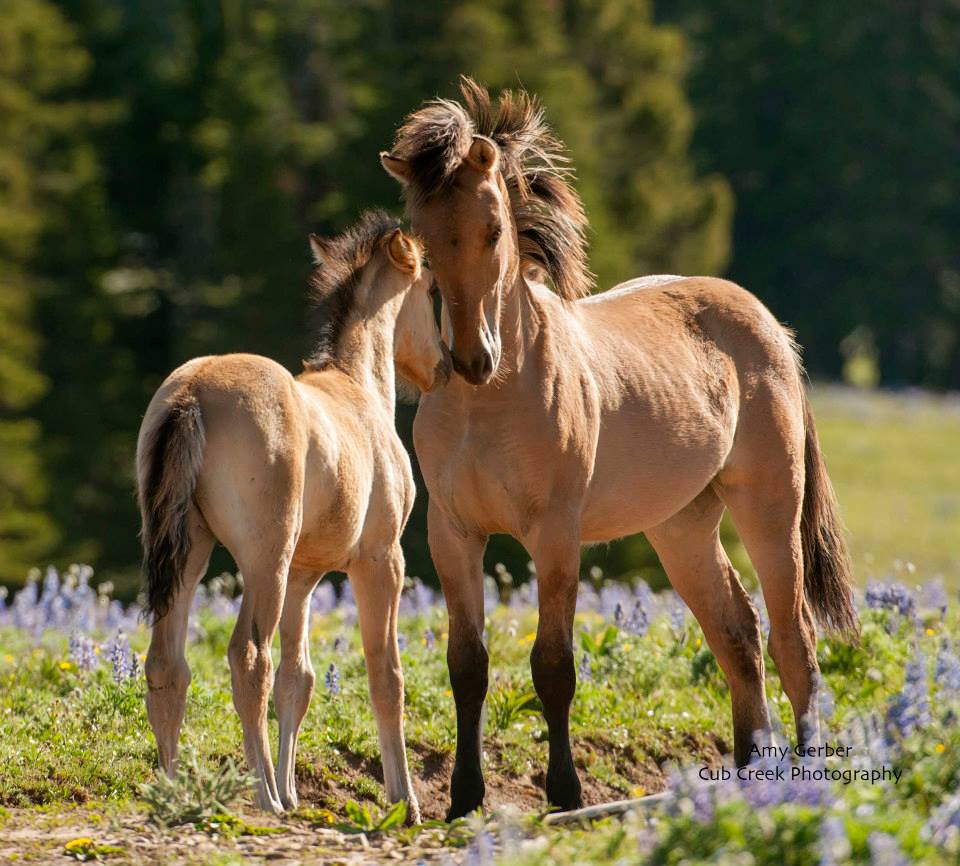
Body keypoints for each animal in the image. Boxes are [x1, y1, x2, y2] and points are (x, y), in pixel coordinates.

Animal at [136, 209, 450, 816]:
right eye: (432, 290)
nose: (449, 367)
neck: (359, 389)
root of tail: (192, 393)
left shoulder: (305, 577)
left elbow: (297, 680)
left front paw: (294, 788)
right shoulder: (381, 560)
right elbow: (385, 673)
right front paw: (404, 799)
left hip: (193, 552)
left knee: (168, 663)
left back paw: (176, 792)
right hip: (265, 560)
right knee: (246, 657)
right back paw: (264, 798)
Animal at [378, 79, 860, 816]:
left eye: (494, 231)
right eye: (426, 242)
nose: (471, 359)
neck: (493, 401)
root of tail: (771, 327)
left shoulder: (555, 534)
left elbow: (553, 664)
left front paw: (565, 793)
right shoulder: (453, 534)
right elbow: (467, 665)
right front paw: (463, 798)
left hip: (769, 510)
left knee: (793, 639)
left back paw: (803, 780)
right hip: (681, 526)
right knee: (737, 633)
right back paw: (748, 773)